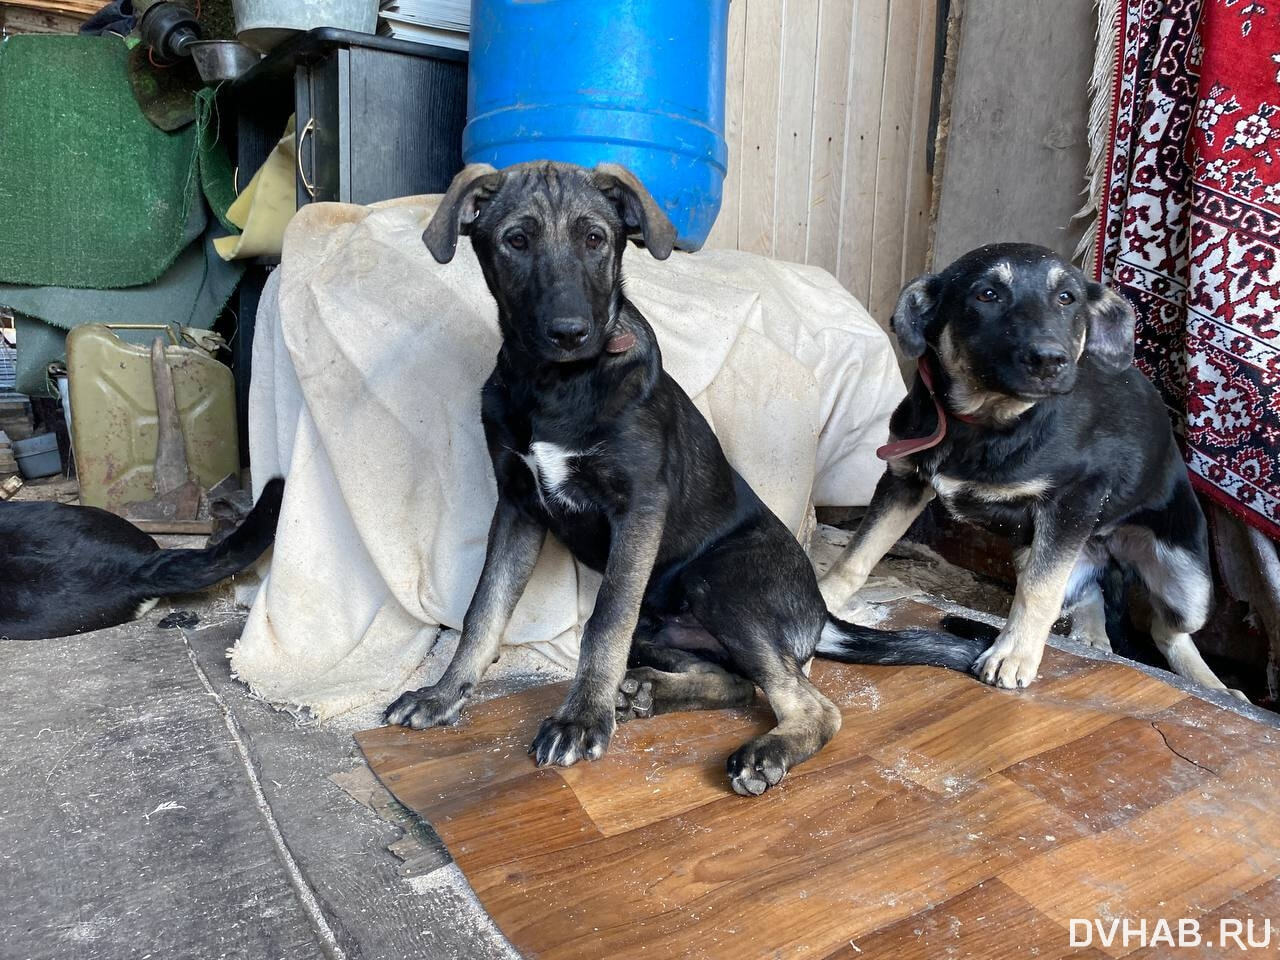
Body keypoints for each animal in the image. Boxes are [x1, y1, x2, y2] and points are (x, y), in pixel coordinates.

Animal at [376, 163, 977, 798]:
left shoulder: (638, 509)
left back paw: (765, 750)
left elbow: (602, 624)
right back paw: (647, 690)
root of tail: (817, 610)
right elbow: (483, 612)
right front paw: (444, 695)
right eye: (516, 241)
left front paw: (581, 719)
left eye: (596, 239)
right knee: (736, 682)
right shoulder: (516, 506)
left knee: (812, 704)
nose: (569, 332)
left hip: (719, 580)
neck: (556, 385)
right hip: (661, 620)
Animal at [819, 244, 1239, 701]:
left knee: (1168, 630)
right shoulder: (903, 481)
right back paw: (1094, 638)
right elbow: (857, 554)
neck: (985, 422)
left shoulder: (1074, 500)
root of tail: (1108, 547)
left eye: (1067, 298)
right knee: (1090, 593)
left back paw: (1217, 687)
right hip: (1041, 551)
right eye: (986, 294)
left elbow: (1038, 592)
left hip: (1188, 583)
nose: (1049, 360)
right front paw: (822, 598)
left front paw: (1014, 655)